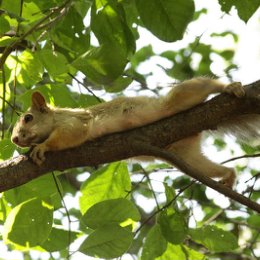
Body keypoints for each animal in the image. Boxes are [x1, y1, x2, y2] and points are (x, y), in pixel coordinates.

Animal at [12, 77, 248, 187]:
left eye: (28, 118)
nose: (14, 139)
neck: (54, 118)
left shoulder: (74, 121)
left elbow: (73, 133)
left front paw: (42, 146)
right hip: (185, 155)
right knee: (203, 166)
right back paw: (229, 175)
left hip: (176, 102)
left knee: (198, 87)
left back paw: (228, 87)